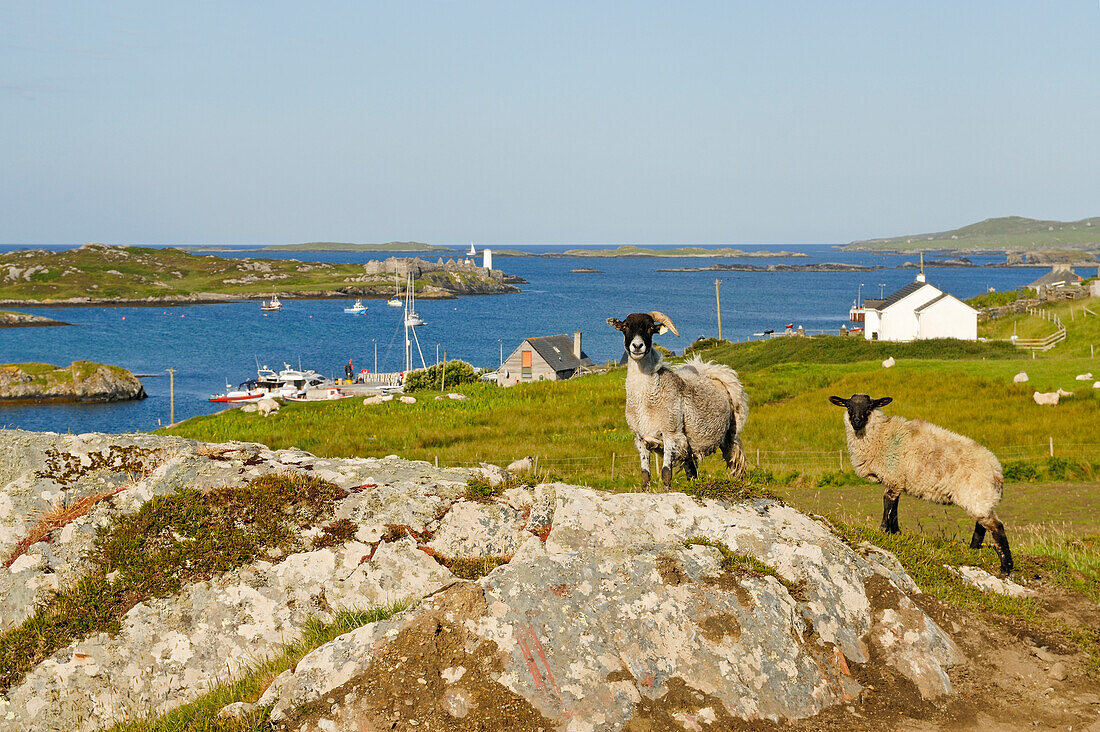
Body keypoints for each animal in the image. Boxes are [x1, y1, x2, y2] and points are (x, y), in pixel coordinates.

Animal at [607, 310, 752, 490]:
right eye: (625, 327)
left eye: (650, 328)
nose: (637, 346)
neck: (647, 398)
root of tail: (712, 371)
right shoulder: (641, 439)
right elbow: (645, 475)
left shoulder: (671, 435)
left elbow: (666, 473)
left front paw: (666, 491)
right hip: (688, 449)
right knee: (693, 473)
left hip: (731, 435)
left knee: (738, 465)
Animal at [827, 391, 1007, 572]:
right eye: (848, 406)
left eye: (870, 407)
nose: (857, 421)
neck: (880, 434)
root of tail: (997, 470)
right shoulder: (897, 479)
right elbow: (895, 507)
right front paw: (896, 532)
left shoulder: (893, 476)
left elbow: (887, 503)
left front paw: (883, 531)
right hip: (979, 497)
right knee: (981, 526)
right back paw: (973, 550)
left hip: (977, 493)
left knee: (996, 527)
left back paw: (1006, 567)